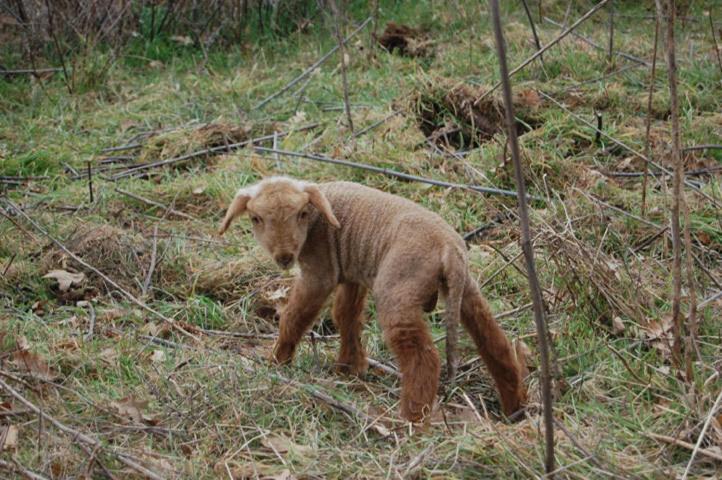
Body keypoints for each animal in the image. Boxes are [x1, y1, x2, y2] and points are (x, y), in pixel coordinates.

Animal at [217, 175, 524, 420]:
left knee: (423, 358)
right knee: (494, 341)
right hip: (466, 289)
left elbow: (296, 316)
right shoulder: (353, 273)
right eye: (256, 219)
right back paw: (515, 408)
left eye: (302, 214)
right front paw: (348, 368)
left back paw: (411, 421)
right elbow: (346, 315)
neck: (319, 219)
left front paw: (278, 360)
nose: (284, 257)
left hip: (397, 290)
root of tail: (448, 247)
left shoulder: (320, 273)